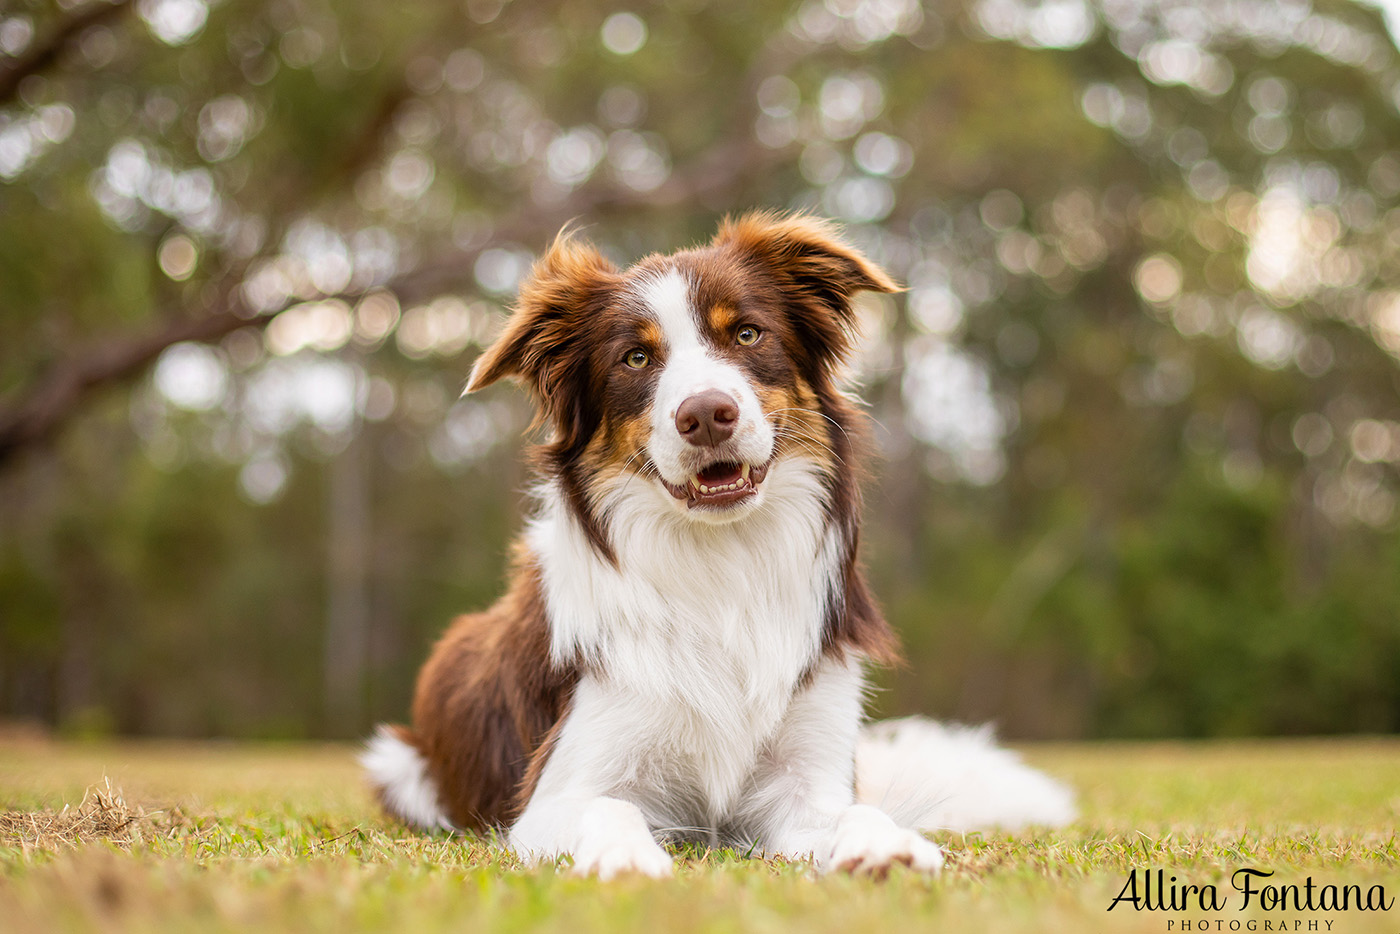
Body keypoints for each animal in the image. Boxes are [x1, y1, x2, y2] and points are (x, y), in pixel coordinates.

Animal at [361, 211, 1069, 879]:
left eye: (747, 334)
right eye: (636, 358)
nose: (705, 414)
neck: (721, 562)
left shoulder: (805, 774)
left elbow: (852, 810)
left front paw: (886, 845)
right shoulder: (557, 789)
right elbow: (610, 807)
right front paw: (625, 857)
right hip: (399, 764)